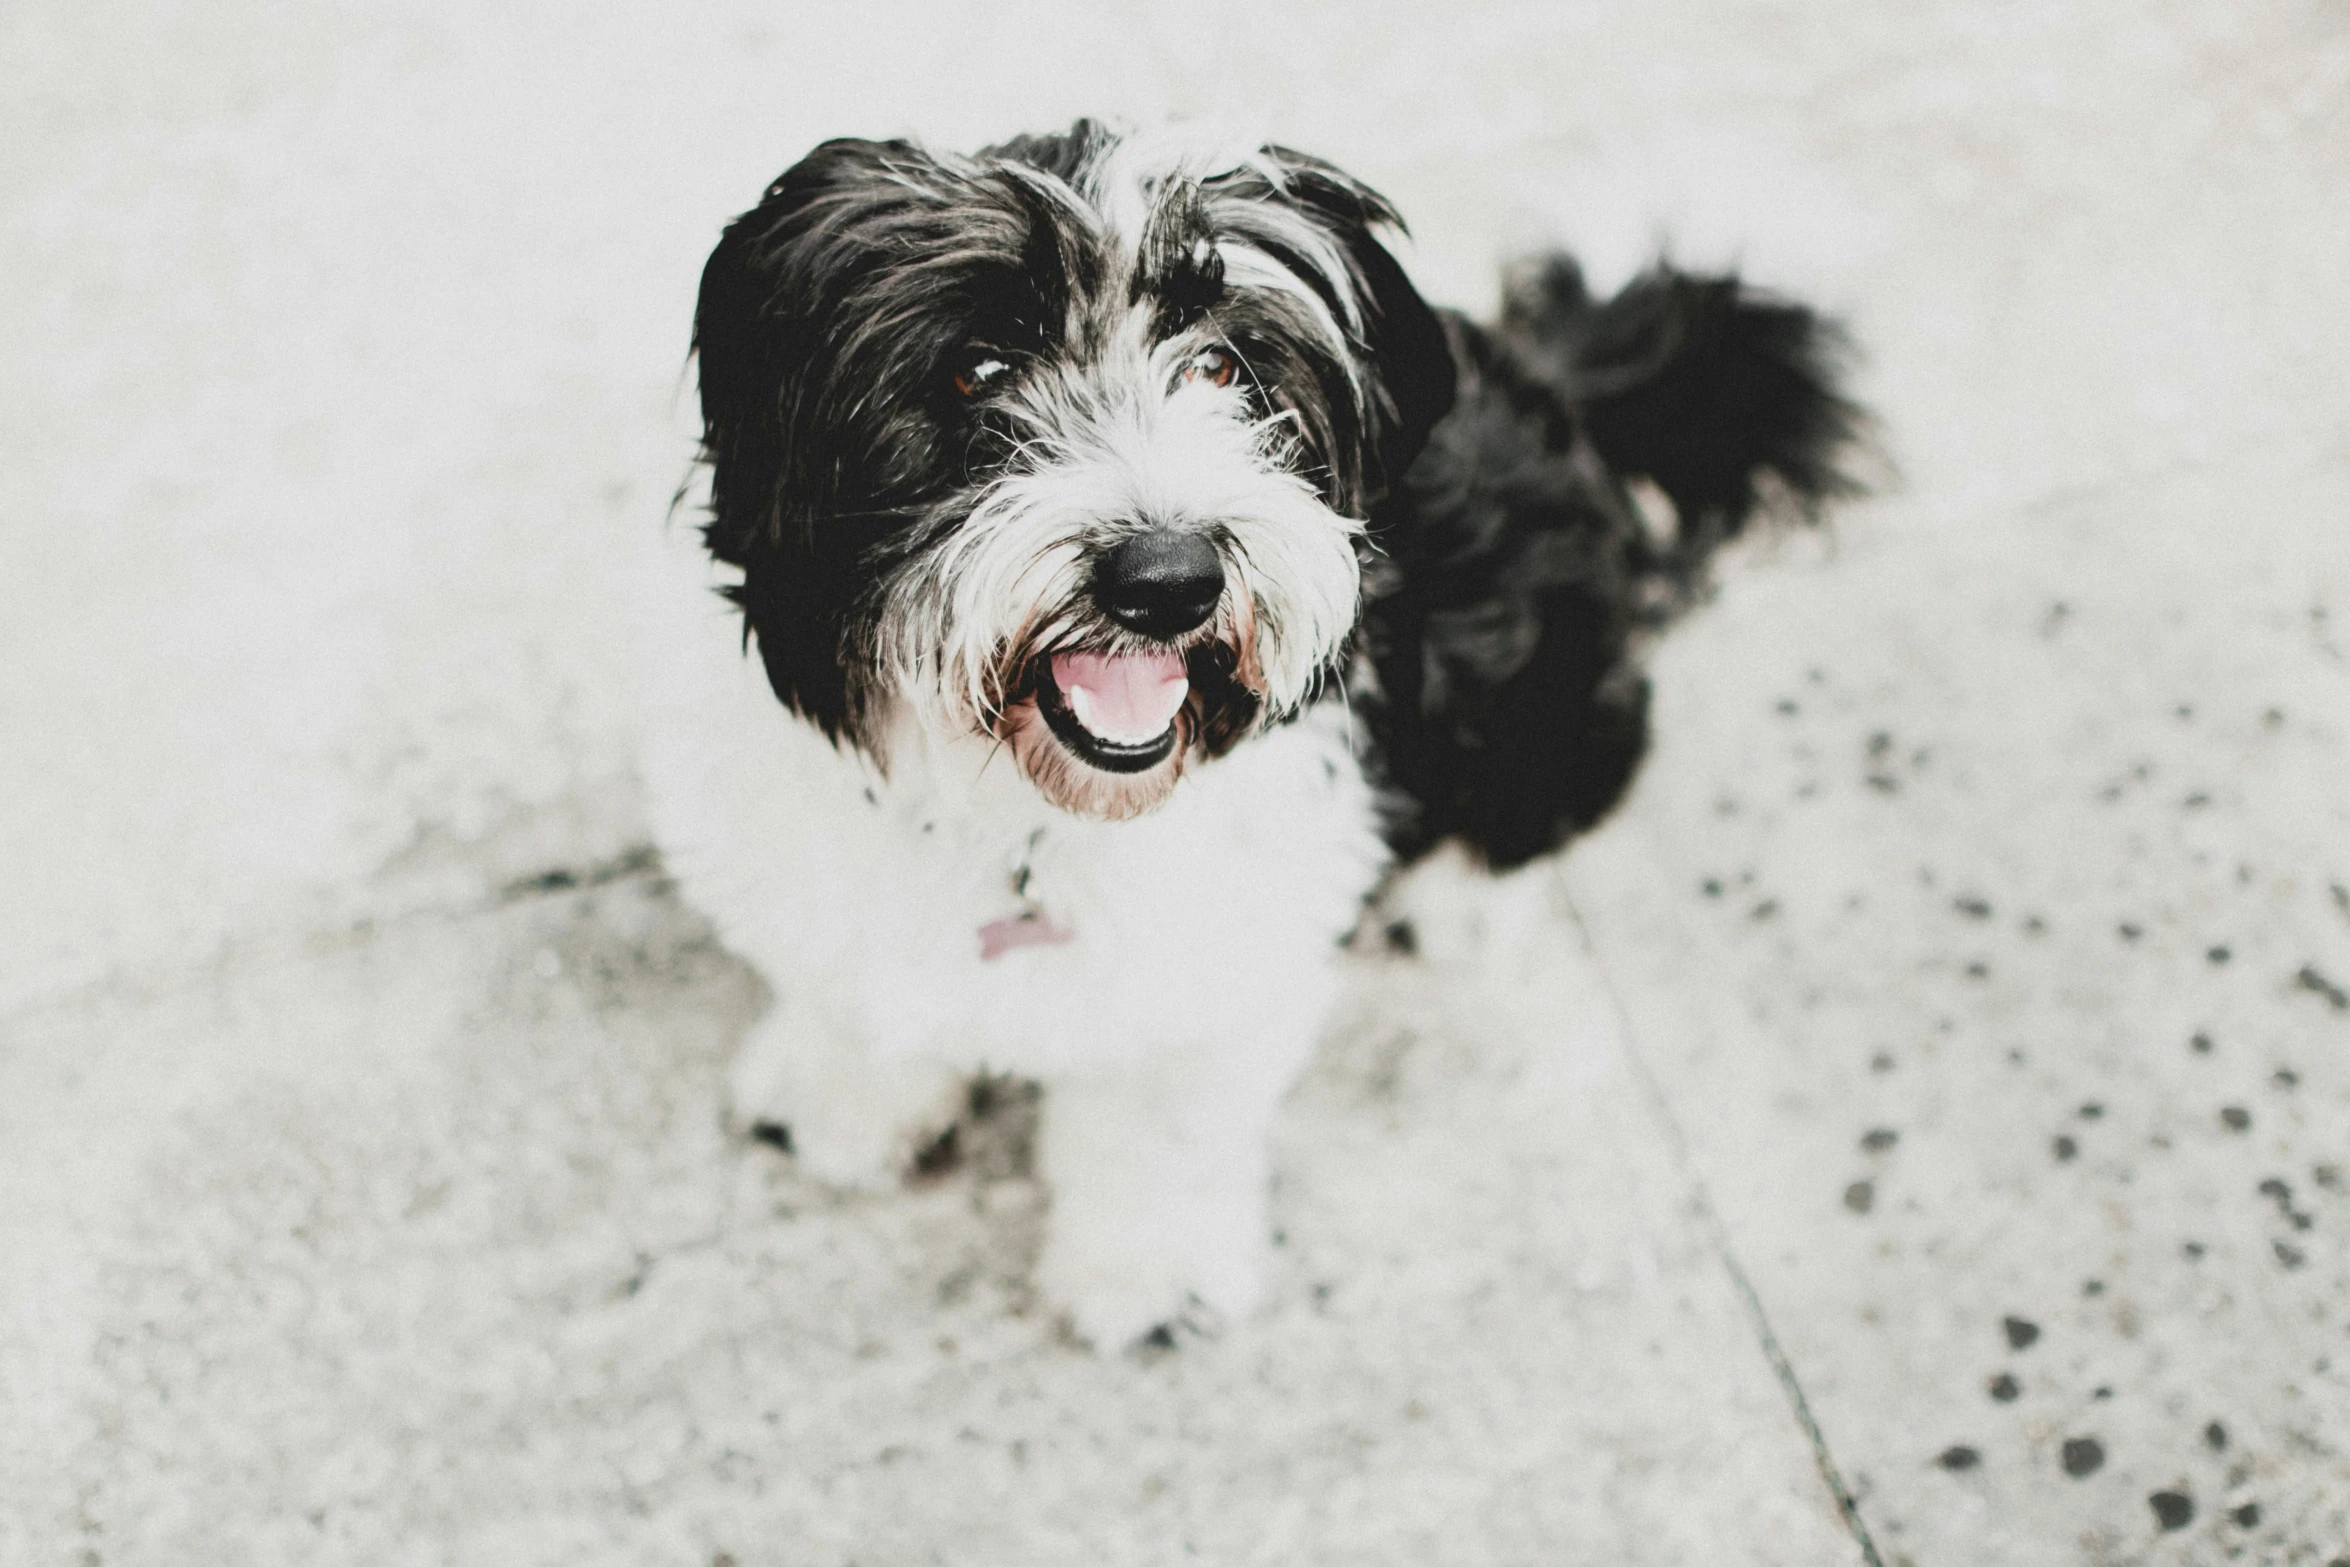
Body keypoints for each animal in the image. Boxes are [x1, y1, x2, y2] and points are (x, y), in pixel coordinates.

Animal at [639, 122, 1851, 1353]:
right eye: (976, 369)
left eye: (1222, 368)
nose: (1167, 578)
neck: (1027, 816)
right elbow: (853, 986)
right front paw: (842, 1101)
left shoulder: (1227, 961)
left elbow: (1159, 1126)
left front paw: (1145, 1276)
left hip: (1548, 685)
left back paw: (1456, 898)